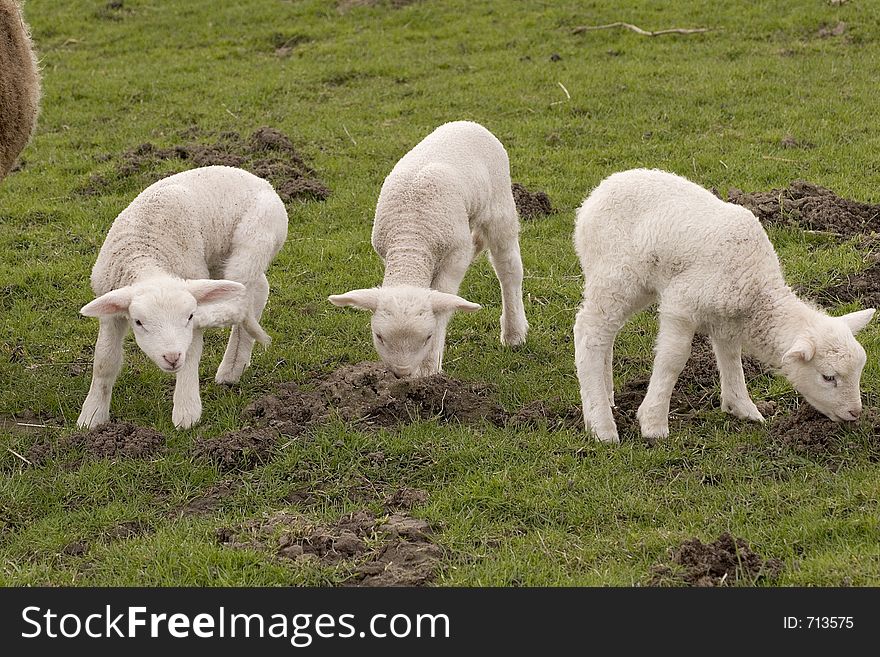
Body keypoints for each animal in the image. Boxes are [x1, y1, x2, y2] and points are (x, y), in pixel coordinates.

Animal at [77, 167, 288, 428]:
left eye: (188, 316)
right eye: (138, 322)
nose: (171, 357)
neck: (146, 258)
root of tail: (262, 181)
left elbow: (190, 357)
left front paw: (186, 412)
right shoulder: (110, 314)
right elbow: (104, 361)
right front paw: (92, 415)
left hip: (254, 239)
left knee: (239, 301)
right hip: (218, 260)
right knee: (257, 290)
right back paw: (232, 369)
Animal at [326, 120, 524, 376]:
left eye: (428, 337)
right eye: (379, 336)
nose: (402, 373)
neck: (412, 239)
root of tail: (467, 123)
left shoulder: (455, 254)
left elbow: (442, 303)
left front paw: (430, 370)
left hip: (500, 207)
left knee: (508, 269)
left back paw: (514, 333)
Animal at [572, 169, 872, 444]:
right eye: (828, 377)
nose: (855, 413)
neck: (755, 287)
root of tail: (598, 193)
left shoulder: (727, 317)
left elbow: (730, 356)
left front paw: (742, 407)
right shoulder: (681, 304)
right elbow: (673, 359)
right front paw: (653, 422)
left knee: (606, 334)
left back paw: (607, 397)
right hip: (616, 274)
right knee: (589, 333)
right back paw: (601, 425)